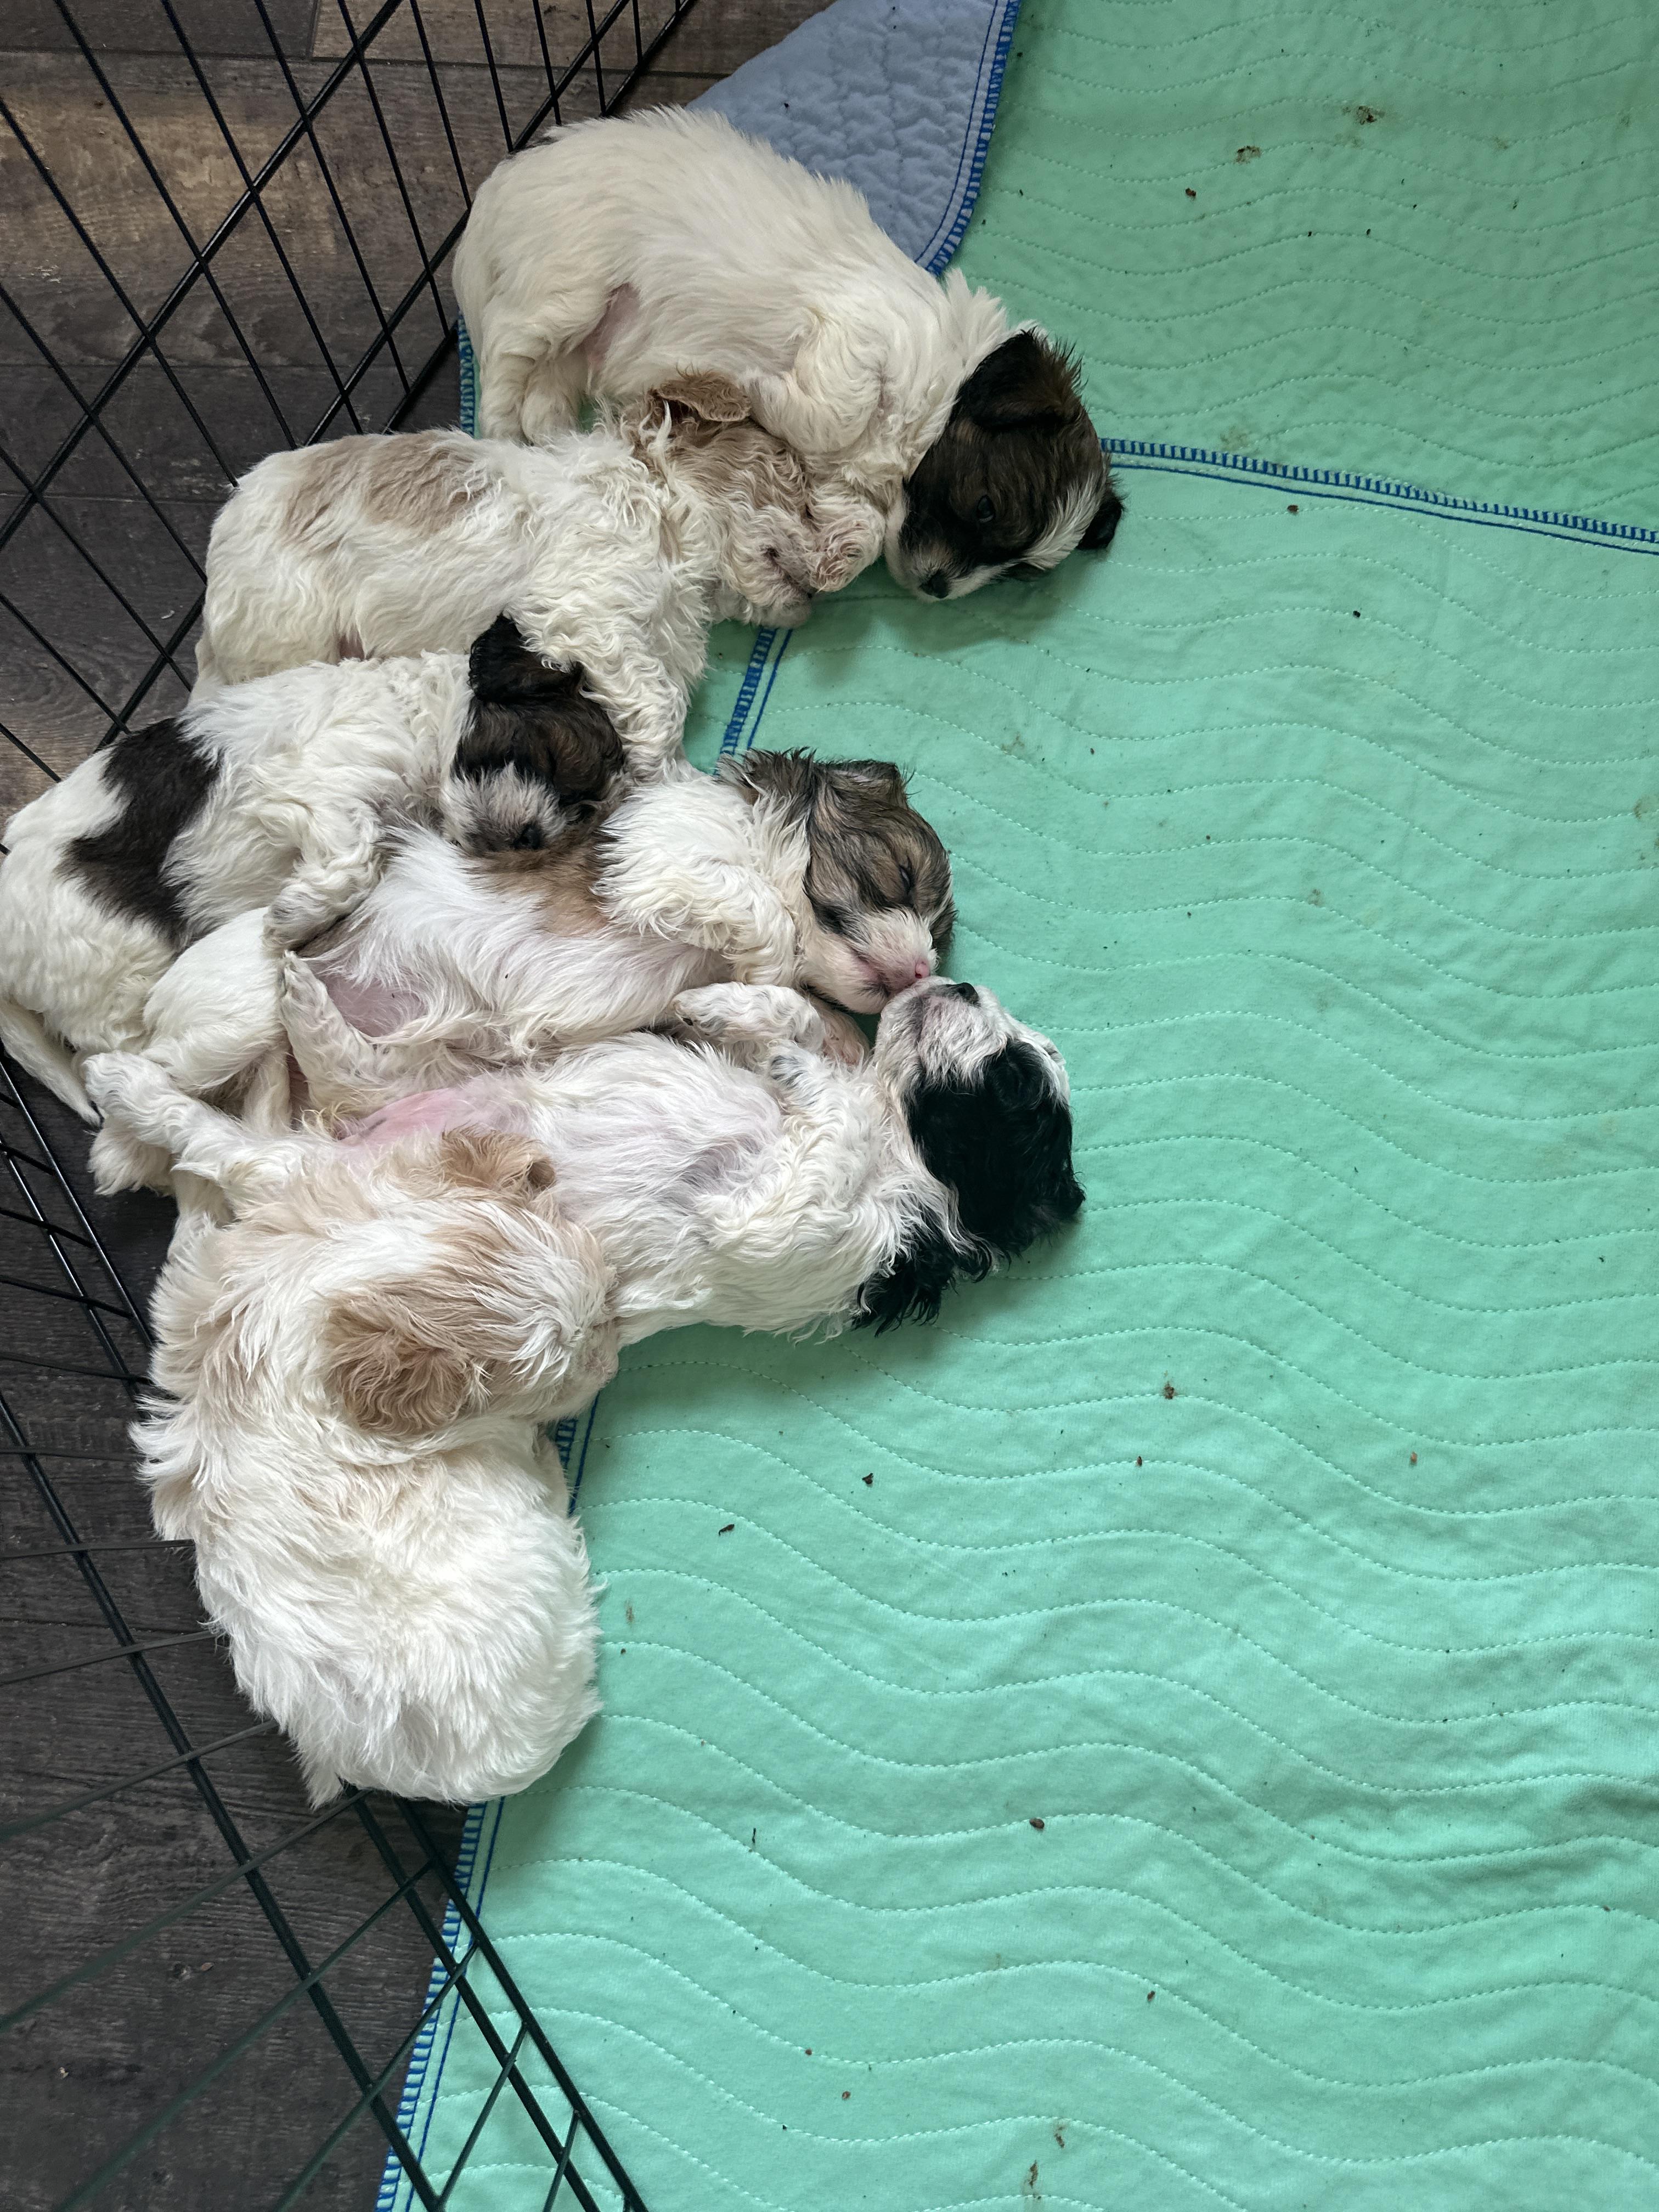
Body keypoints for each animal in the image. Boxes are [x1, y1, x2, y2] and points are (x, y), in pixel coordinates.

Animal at [0, 623, 620, 1157]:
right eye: (549, 757)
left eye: (584, 812)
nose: (532, 837)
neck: (424, 730)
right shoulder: (327, 779)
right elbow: (357, 856)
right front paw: (291, 919)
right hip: (109, 983)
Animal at [194, 376, 885, 766]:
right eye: (795, 479)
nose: (859, 556)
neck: (658, 504)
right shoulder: (583, 612)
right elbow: (659, 706)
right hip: (294, 631)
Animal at [454, 107, 1121, 599]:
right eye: (985, 507)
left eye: (1014, 575)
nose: (938, 589)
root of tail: (497, 186)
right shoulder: (857, 334)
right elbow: (841, 410)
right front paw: (759, 388)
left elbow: (865, 524)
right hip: (567, 288)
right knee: (506, 358)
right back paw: (500, 435)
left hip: (576, 342)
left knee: (545, 392)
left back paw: (555, 437)